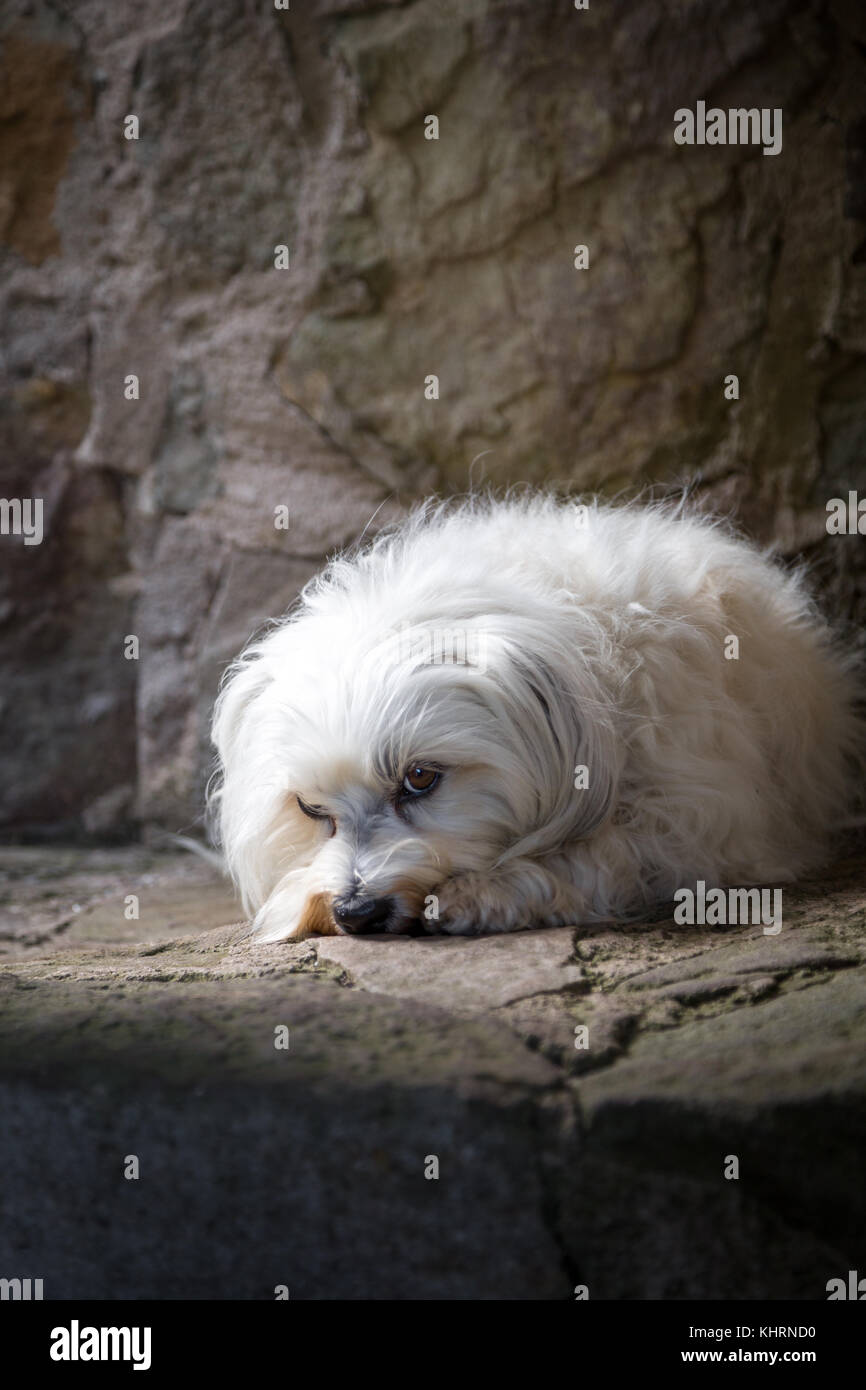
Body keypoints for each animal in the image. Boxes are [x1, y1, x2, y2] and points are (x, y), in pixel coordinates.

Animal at [208, 494, 861, 939]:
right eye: (309, 809)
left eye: (420, 778)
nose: (355, 911)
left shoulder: (703, 819)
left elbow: (610, 851)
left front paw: (486, 891)